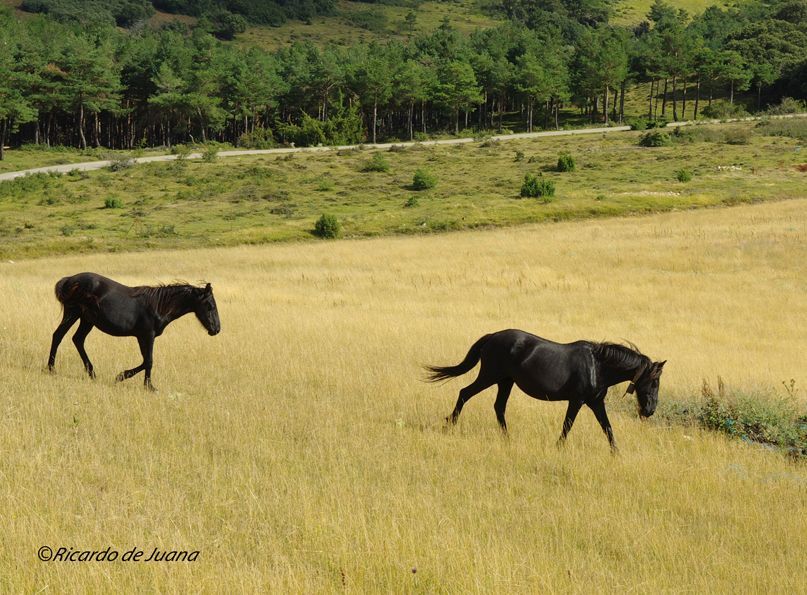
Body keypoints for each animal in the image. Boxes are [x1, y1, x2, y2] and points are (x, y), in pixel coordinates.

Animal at [49, 272, 223, 392]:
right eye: (210, 306)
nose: (216, 329)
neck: (159, 305)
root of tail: (69, 280)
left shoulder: (143, 337)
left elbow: (146, 360)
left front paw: (139, 382)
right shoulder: (147, 335)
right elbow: (149, 361)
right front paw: (135, 381)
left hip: (86, 320)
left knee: (77, 339)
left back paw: (91, 373)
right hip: (73, 313)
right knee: (58, 336)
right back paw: (51, 369)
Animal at [426, 330, 664, 452]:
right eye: (654, 383)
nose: (650, 410)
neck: (598, 366)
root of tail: (492, 336)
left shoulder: (596, 403)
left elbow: (607, 428)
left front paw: (616, 453)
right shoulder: (577, 401)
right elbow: (567, 425)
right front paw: (558, 447)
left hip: (505, 382)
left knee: (499, 407)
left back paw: (507, 438)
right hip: (490, 376)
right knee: (464, 393)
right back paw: (449, 424)